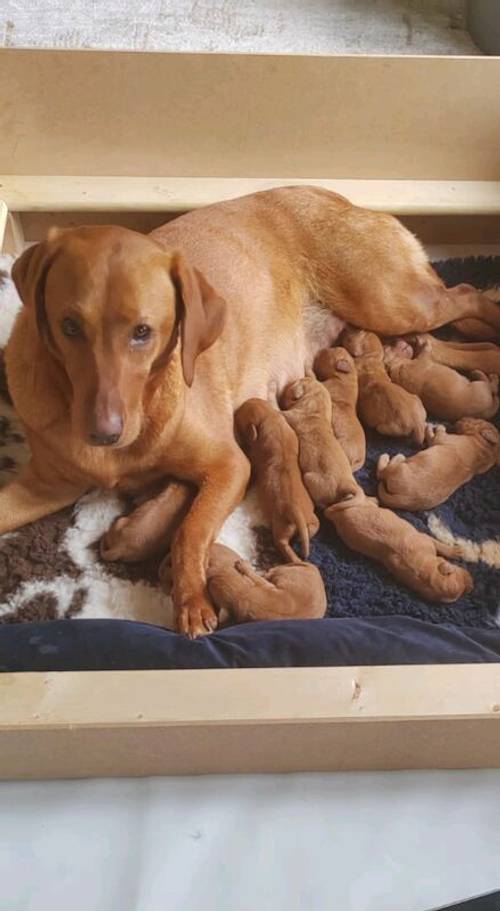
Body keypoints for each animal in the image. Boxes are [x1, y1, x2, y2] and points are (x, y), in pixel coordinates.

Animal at [235, 400, 320, 564]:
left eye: (238, 419)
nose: (234, 413)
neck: (268, 418)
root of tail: (294, 509)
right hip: (310, 517)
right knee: (314, 526)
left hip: (281, 527)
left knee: (282, 543)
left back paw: (294, 559)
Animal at [280, 374, 362, 510]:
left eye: (288, 391)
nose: (286, 388)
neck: (318, 412)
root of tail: (347, 483)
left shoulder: (293, 415)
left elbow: (282, 413)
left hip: (310, 478)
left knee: (323, 502)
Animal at [324, 492, 472, 604]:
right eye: (461, 572)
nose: (472, 585)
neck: (424, 572)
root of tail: (335, 516)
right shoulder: (425, 539)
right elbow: (438, 544)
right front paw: (455, 551)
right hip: (362, 505)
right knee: (365, 500)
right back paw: (372, 499)